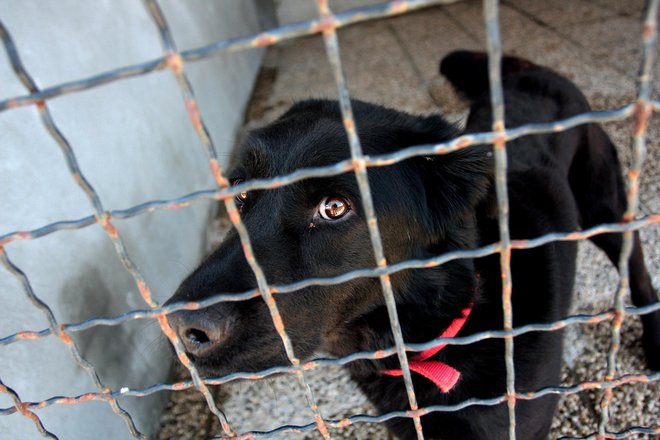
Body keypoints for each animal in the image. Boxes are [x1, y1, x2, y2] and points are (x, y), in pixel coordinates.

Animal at [164, 52, 656, 440]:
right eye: (239, 192)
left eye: (335, 207)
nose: (181, 326)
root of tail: (532, 69)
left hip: (606, 208)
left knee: (637, 268)